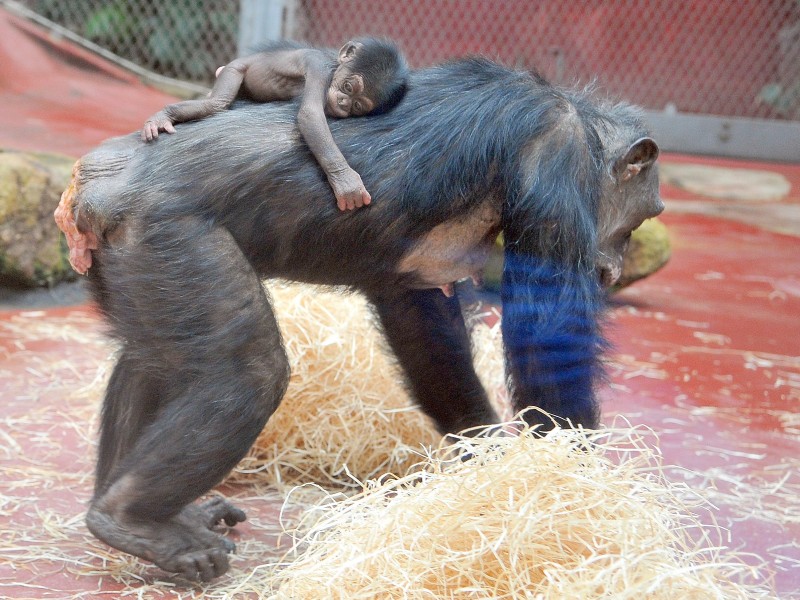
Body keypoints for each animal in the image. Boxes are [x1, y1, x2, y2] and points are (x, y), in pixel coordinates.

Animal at [61, 56, 664, 580]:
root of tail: (93, 183)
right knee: (245, 373)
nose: (616, 262)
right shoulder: (558, 159)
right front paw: (573, 487)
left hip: (124, 257)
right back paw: (131, 518)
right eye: (644, 216)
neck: (583, 125)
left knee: (154, 360)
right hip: (169, 236)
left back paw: (142, 510)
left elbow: (420, 315)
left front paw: (490, 455)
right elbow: (547, 337)